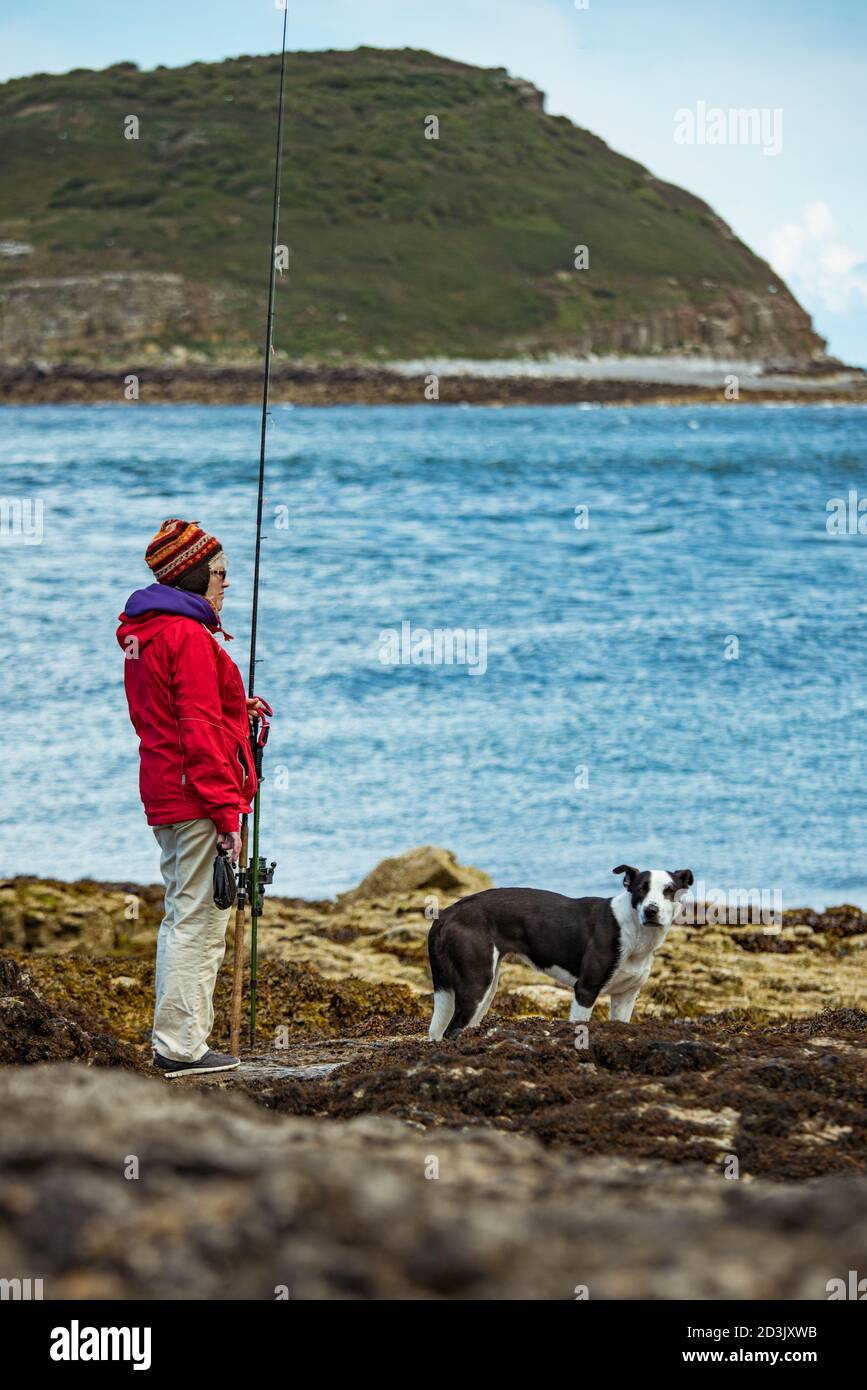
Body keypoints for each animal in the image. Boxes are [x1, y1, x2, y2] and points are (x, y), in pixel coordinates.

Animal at [427, 861, 691, 1039]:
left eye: (670, 890)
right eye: (640, 889)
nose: (651, 911)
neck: (634, 931)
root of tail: (448, 913)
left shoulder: (625, 996)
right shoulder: (585, 990)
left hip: (486, 987)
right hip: (476, 985)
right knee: (451, 1031)